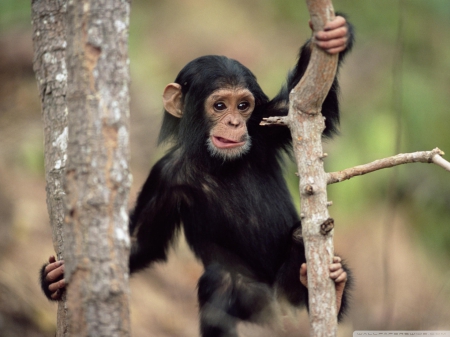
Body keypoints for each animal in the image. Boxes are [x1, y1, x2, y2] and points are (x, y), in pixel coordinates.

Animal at [40, 14, 354, 334]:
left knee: (300, 239)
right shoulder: (165, 177)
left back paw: (334, 289)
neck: (216, 162)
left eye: (243, 106)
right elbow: (142, 243)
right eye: (220, 105)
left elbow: (310, 107)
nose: (234, 122)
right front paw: (53, 278)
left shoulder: (267, 125)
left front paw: (334, 36)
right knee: (220, 281)